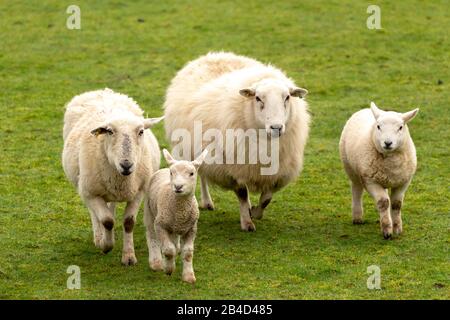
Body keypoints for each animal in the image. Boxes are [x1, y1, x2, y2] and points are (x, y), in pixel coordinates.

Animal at [61, 88, 163, 264]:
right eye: (109, 131)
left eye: (141, 131)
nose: (126, 165)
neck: (122, 178)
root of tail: (102, 91)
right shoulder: (91, 193)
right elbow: (107, 221)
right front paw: (105, 245)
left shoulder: (139, 191)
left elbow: (128, 222)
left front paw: (129, 256)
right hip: (86, 188)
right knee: (95, 214)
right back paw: (99, 236)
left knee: (111, 206)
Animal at [143, 149, 208, 284]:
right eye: (172, 173)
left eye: (192, 173)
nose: (178, 186)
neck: (180, 210)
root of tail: (163, 169)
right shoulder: (160, 225)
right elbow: (168, 250)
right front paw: (169, 268)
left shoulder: (191, 229)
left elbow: (188, 253)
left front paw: (188, 276)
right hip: (149, 211)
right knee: (151, 234)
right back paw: (156, 262)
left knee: (174, 239)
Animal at [163, 52, 312, 232]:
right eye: (257, 98)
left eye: (287, 97)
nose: (276, 127)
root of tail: (214, 55)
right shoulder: (232, 169)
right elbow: (242, 194)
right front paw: (247, 222)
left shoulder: (279, 172)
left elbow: (267, 198)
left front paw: (255, 212)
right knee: (201, 174)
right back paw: (207, 201)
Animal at [342, 101, 418, 239]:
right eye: (378, 127)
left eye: (400, 127)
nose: (388, 143)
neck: (391, 166)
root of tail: (366, 109)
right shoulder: (370, 181)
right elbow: (383, 202)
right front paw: (387, 230)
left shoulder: (403, 182)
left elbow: (396, 204)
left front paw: (397, 228)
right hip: (350, 168)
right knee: (356, 190)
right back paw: (357, 217)